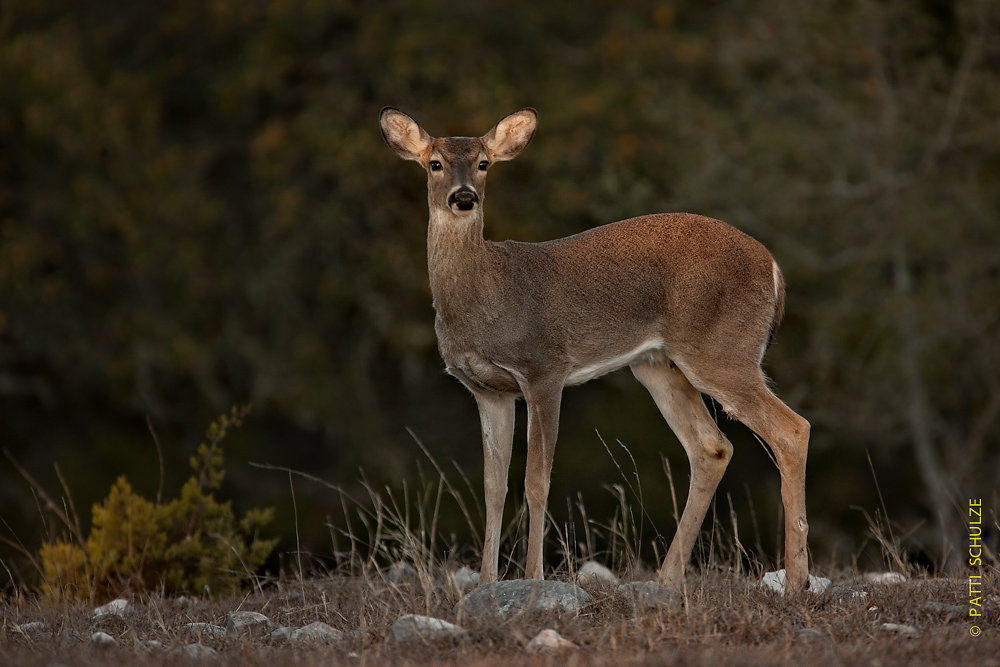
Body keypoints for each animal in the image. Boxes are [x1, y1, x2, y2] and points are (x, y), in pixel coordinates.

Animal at [382, 108, 812, 596]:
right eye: (434, 163)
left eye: (483, 163)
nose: (464, 197)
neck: (485, 299)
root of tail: (773, 267)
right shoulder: (488, 390)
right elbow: (493, 487)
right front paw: (488, 583)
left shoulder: (544, 369)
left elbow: (536, 481)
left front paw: (533, 577)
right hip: (658, 365)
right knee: (712, 447)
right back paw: (668, 578)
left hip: (721, 350)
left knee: (792, 429)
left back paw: (796, 581)